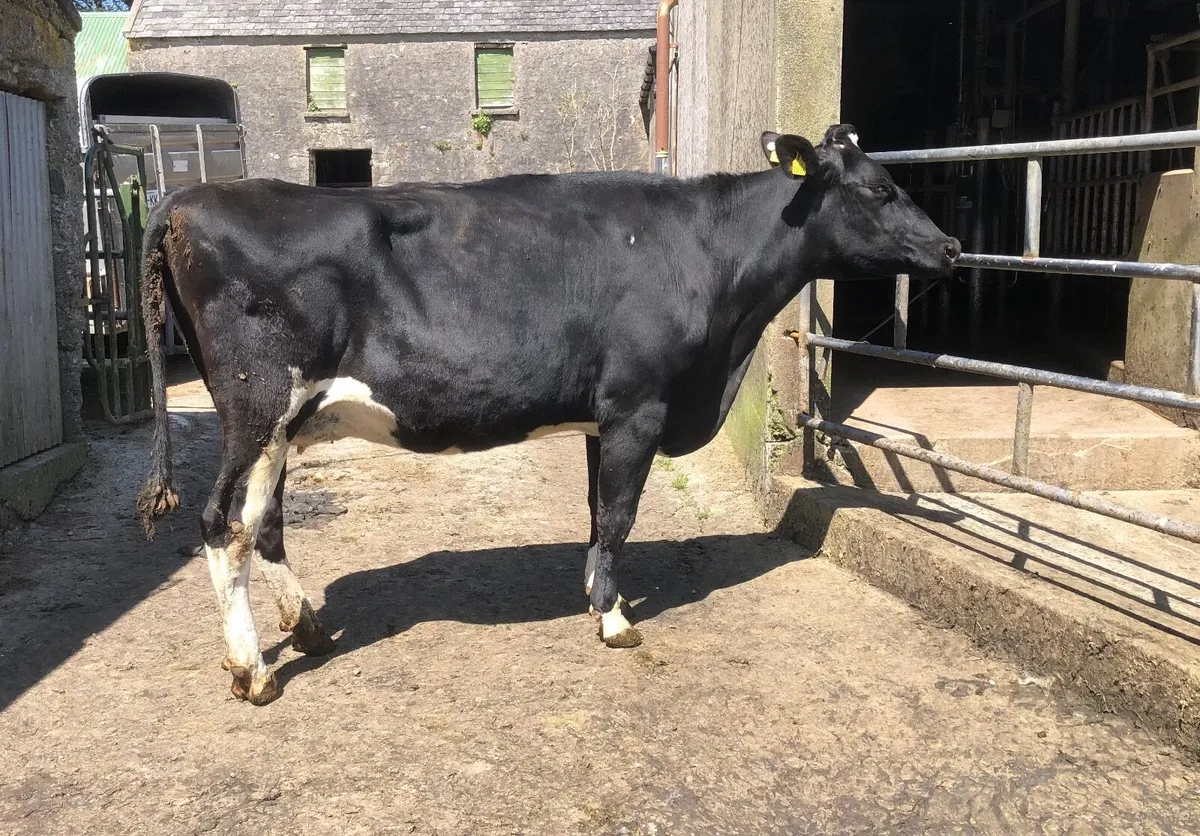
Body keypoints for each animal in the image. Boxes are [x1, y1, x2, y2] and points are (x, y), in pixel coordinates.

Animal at [137, 124, 960, 705]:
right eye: (880, 189)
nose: (952, 246)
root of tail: (190, 198)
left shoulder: (605, 415)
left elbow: (597, 513)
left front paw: (595, 594)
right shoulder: (640, 406)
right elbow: (621, 515)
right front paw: (616, 621)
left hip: (278, 420)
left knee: (264, 521)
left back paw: (306, 628)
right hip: (257, 401)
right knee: (223, 523)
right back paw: (253, 671)